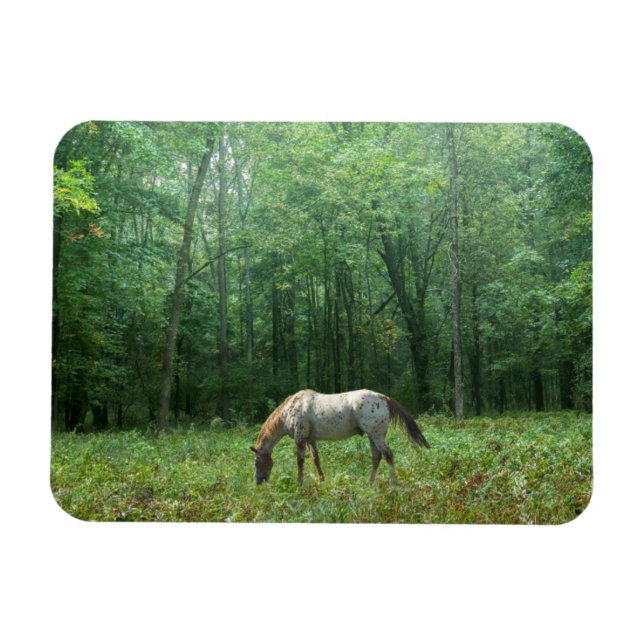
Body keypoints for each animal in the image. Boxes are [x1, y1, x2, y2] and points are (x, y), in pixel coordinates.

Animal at [250, 389, 429, 485]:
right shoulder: (310, 440)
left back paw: (393, 483)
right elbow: (315, 459)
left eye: (257, 463)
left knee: (388, 455)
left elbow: (300, 461)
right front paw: (321, 480)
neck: (290, 410)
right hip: (372, 437)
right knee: (376, 457)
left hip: (377, 436)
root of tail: (384, 398)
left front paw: (299, 482)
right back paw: (369, 483)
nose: (258, 482)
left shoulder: (300, 439)